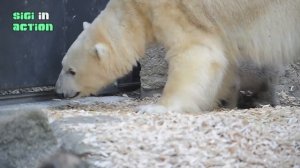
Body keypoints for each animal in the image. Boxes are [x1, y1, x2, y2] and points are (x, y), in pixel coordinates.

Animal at [55, 0, 300, 113]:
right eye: (63, 65)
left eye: (71, 70)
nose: (58, 91)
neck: (136, 9)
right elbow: (222, 62)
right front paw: (213, 99)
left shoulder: (177, 11)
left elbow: (195, 53)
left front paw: (155, 107)